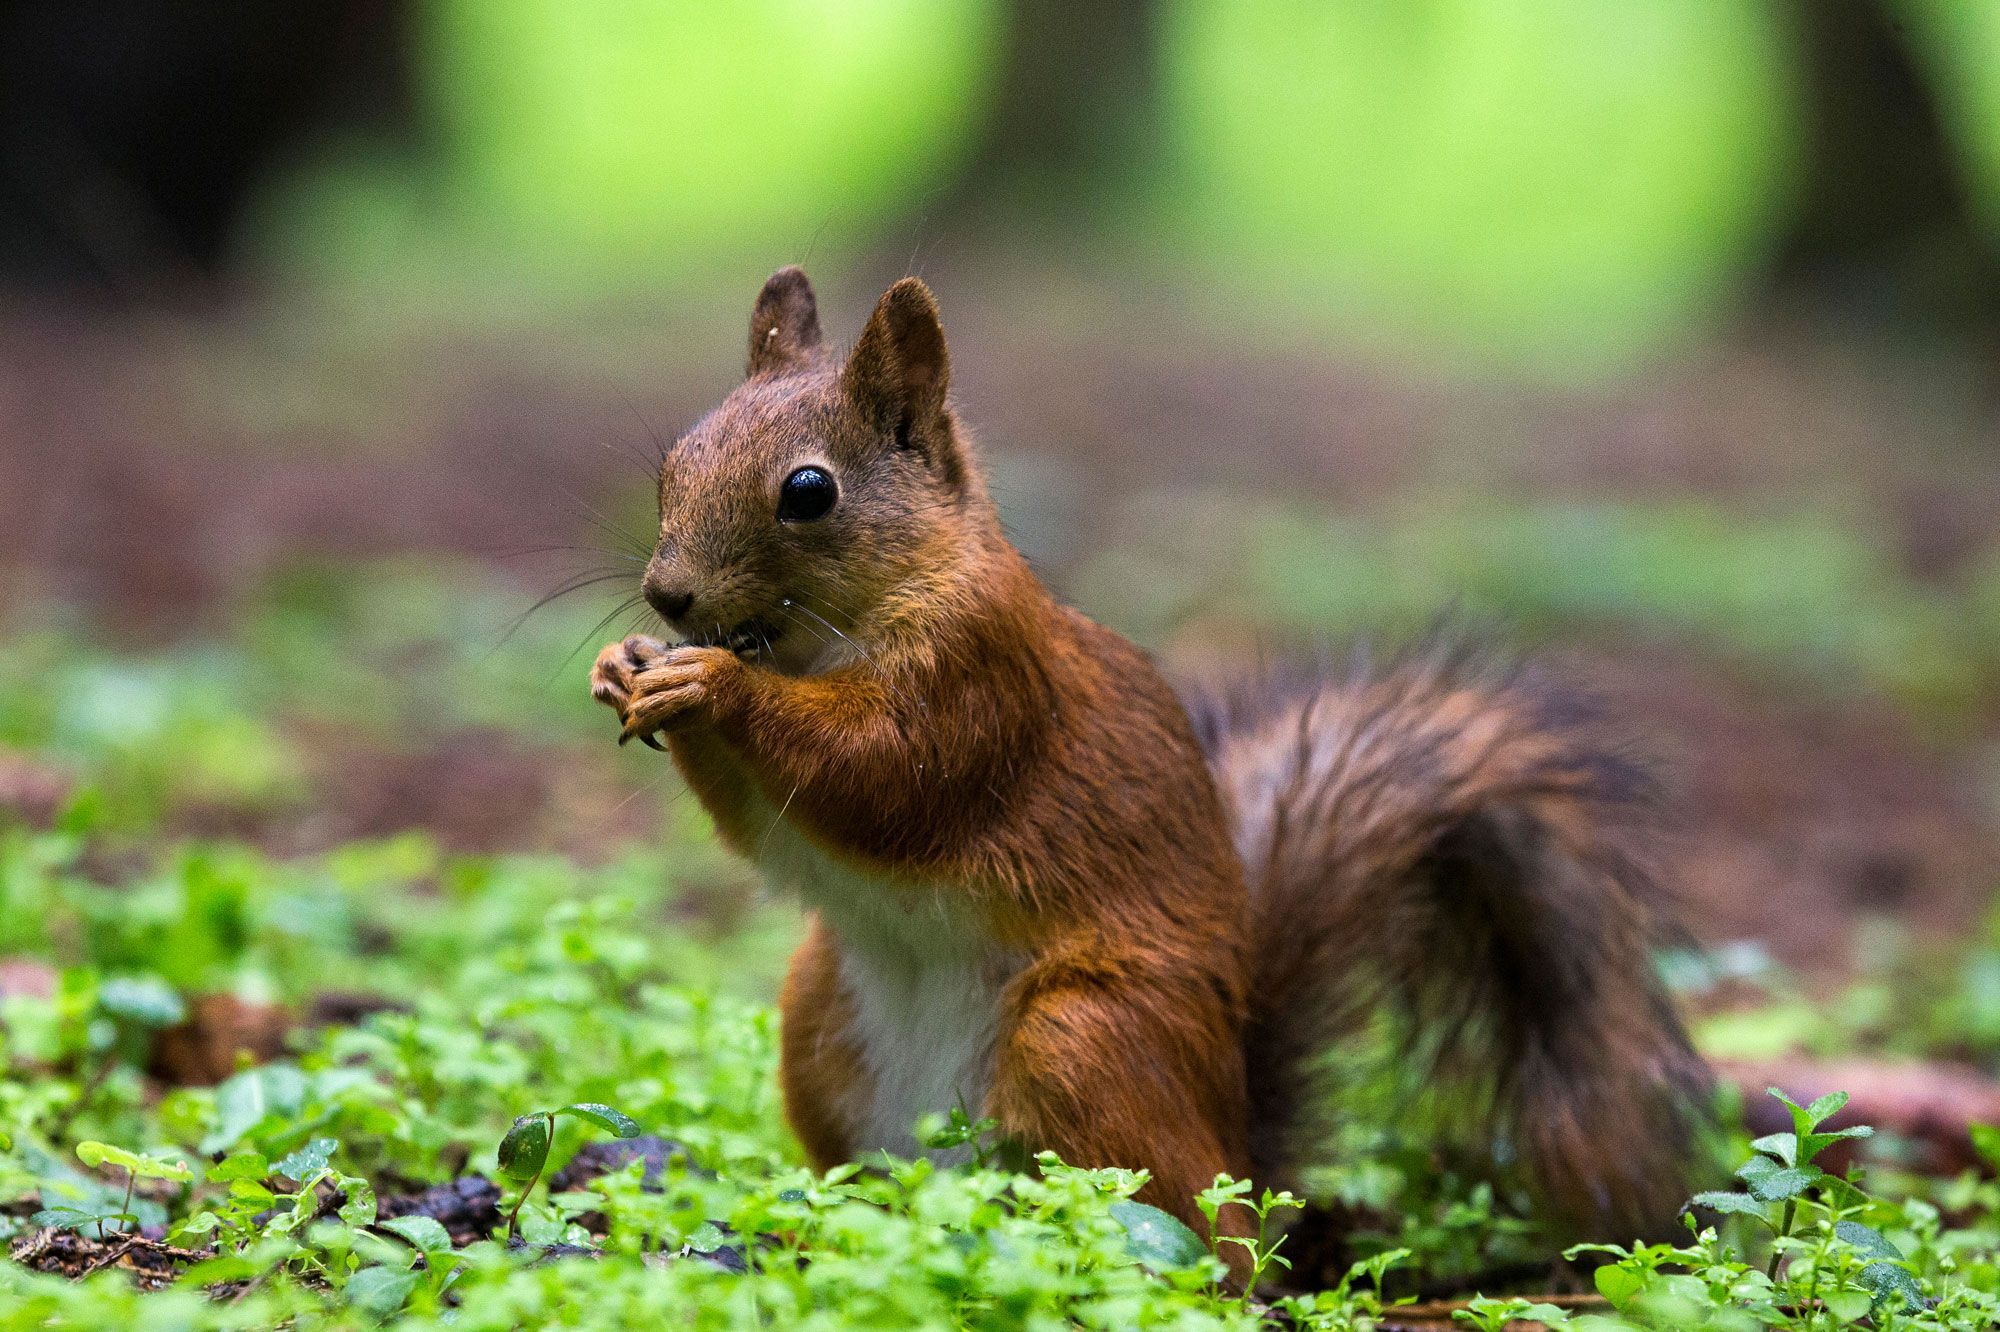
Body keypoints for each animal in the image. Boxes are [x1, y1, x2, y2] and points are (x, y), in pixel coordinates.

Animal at [584, 264, 1712, 1264]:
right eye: (677, 458)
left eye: (809, 491)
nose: (668, 595)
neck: (818, 642)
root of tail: (1235, 1143)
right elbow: (759, 828)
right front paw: (626, 666)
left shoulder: (981, 681)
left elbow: (878, 775)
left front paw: (714, 685)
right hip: (818, 1021)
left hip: (1087, 1036)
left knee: (1194, 1240)